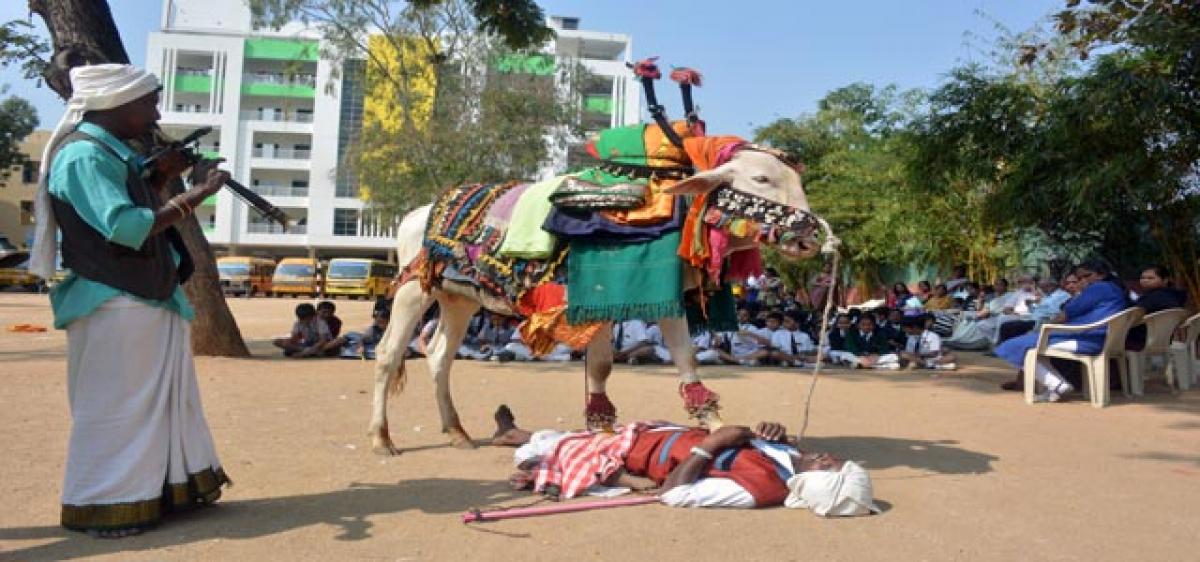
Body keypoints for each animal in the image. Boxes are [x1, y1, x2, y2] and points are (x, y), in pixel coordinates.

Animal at [369, 59, 830, 453]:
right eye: (762, 178)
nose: (810, 237)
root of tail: (417, 214)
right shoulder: (597, 302)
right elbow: (603, 367)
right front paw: (603, 432)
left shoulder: (661, 299)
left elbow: (684, 361)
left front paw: (716, 425)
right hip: (412, 292)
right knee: (389, 353)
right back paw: (381, 437)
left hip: (458, 299)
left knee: (439, 356)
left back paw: (457, 430)